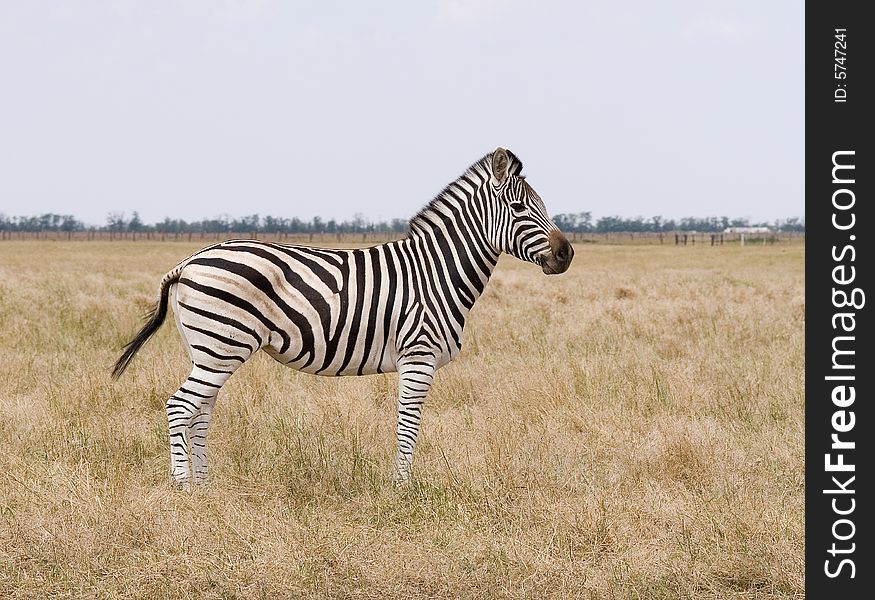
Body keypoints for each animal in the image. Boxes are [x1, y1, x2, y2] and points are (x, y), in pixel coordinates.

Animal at [111, 149, 576, 488]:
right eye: (519, 206)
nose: (566, 254)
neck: (435, 271)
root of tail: (188, 261)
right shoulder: (418, 356)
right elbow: (408, 424)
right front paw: (402, 489)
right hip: (222, 346)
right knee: (180, 406)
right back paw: (183, 488)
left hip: (209, 350)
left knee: (200, 411)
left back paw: (206, 487)